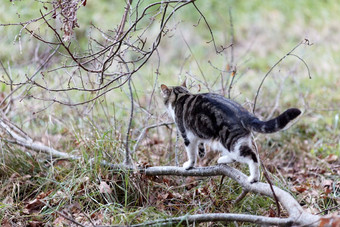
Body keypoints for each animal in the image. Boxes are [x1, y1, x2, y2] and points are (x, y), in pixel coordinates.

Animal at [161, 81, 302, 183]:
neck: (182, 96)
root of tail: (243, 113)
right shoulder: (196, 134)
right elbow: (200, 144)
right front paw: (202, 152)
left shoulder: (186, 134)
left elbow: (191, 154)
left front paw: (189, 165)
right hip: (239, 140)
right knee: (245, 154)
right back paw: (223, 160)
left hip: (230, 141)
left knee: (252, 156)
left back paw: (253, 178)